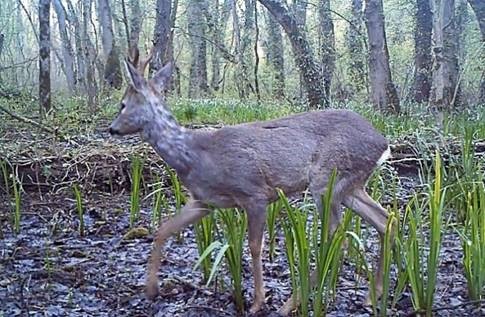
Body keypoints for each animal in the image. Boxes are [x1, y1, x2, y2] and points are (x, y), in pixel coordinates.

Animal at [108, 49, 392, 314]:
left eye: (123, 104)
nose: (112, 128)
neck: (195, 154)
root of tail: (383, 143)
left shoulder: (254, 193)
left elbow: (254, 246)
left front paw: (257, 302)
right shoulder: (204, 201)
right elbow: (163, 229)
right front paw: (151, 289)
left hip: (326, 180)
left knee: (338, 237)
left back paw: (291, 303)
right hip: (350, 186)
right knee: (384, 220)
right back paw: (373, 295)